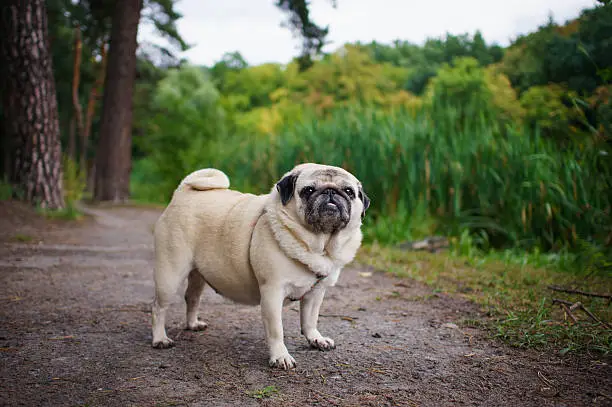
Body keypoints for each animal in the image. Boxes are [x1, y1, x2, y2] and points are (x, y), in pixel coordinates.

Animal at [152, 163, 372, 370]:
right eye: (308, 190)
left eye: (349, 191)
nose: (330, 192)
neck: (320, 246)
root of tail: (183, 191)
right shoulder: (272, 292)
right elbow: (276, 330)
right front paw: (280, 356)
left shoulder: (316, 293)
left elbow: (310, 320)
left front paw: (316, 339)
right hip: (170, 273)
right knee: (158, 307)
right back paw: (160, 339)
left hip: (198, 274)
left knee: (192, 298)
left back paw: (192, 324)